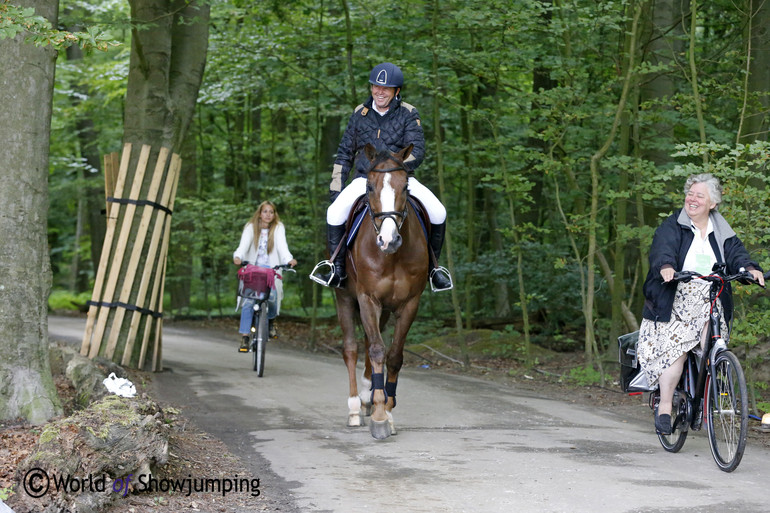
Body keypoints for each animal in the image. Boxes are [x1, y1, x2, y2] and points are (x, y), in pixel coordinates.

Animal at [336, 142, 428, 438]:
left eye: (405, 186)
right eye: (370, 187)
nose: (388, 240)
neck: (391, 257)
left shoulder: (409, 303)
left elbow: (394, 356)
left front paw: (386, 410)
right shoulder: (367, 298)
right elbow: (377, 351)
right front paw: (378, 415)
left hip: (385, 310)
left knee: (366, 345)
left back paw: (366, 399)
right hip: (344, 297)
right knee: (352, 349)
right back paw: (355, 408)